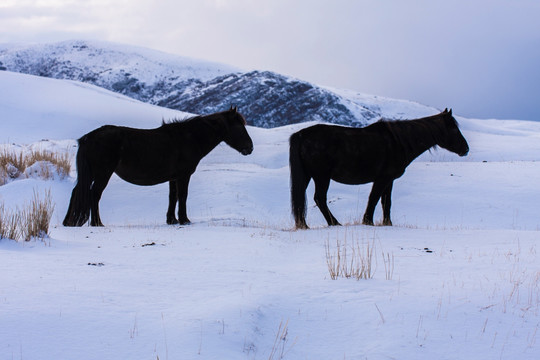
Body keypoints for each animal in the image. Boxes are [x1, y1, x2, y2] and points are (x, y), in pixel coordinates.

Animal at [62, 106, 253, 228]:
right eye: (239, 127)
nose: (250, 148)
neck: (189, 138)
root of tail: (88, 138)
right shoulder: (184, 176)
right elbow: (183, 196)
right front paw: (184, 220)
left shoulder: (173, 178)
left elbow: (172, 197)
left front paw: (172, 220)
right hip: (103, 173)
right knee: (94, 194)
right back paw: (97, 223)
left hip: (92, 173)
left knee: (77, 192)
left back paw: (69, 222)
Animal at [288, 108, 470, 229]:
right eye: (454, 129)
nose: (466, 149)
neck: (399, 141)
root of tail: (301, 135)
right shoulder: (382, 178)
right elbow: (374, 199)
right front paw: (368, 221)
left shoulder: (389, 180)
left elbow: (386, 202)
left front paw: (387, 223)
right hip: (322, 176)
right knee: (319, 198)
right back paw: (335, 223)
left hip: (307, 175)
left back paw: (304, 225)